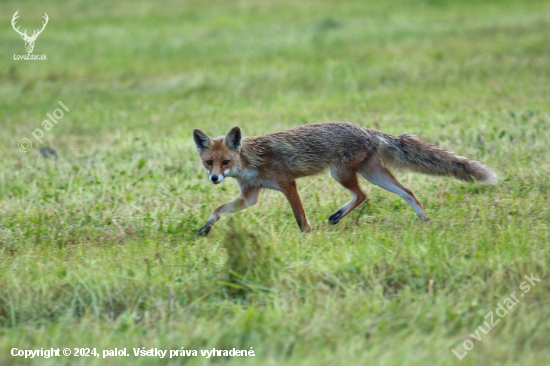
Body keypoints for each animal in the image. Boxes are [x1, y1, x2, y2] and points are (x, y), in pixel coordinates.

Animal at [193, 123, 496, 236]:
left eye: (225, 162)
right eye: (209, 162)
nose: (215, 178)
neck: (250, 162)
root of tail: (369, 130)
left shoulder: (287, 184)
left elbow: (300, 218)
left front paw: (307, 237)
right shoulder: (250, 195)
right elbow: (218, 210)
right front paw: (205, 229)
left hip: (340, 173)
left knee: (362, 195)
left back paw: (337, 216)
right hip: (373, 174)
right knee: (407, 191)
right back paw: (424, 220)